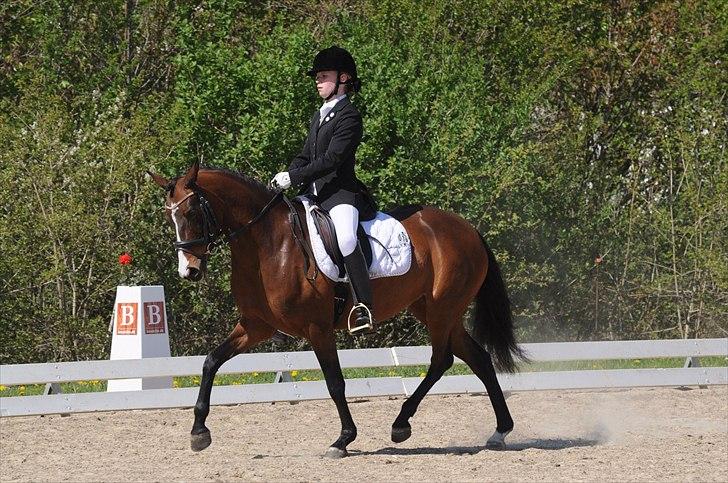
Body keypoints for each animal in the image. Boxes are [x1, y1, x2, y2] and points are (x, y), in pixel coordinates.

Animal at [148, 161, 526, 458]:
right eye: (169, 217)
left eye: (192, 212)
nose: (189, 271)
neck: (268, 244)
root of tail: (467, 228)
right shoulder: (256, 326)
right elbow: (211, 361)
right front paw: (199, 432)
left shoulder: (317, 328)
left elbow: (334, 382)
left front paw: (343, 439)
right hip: (435, 310)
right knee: (477, 358)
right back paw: (499, 431)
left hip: (441, 310)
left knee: (442, 360)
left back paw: (401, 424)